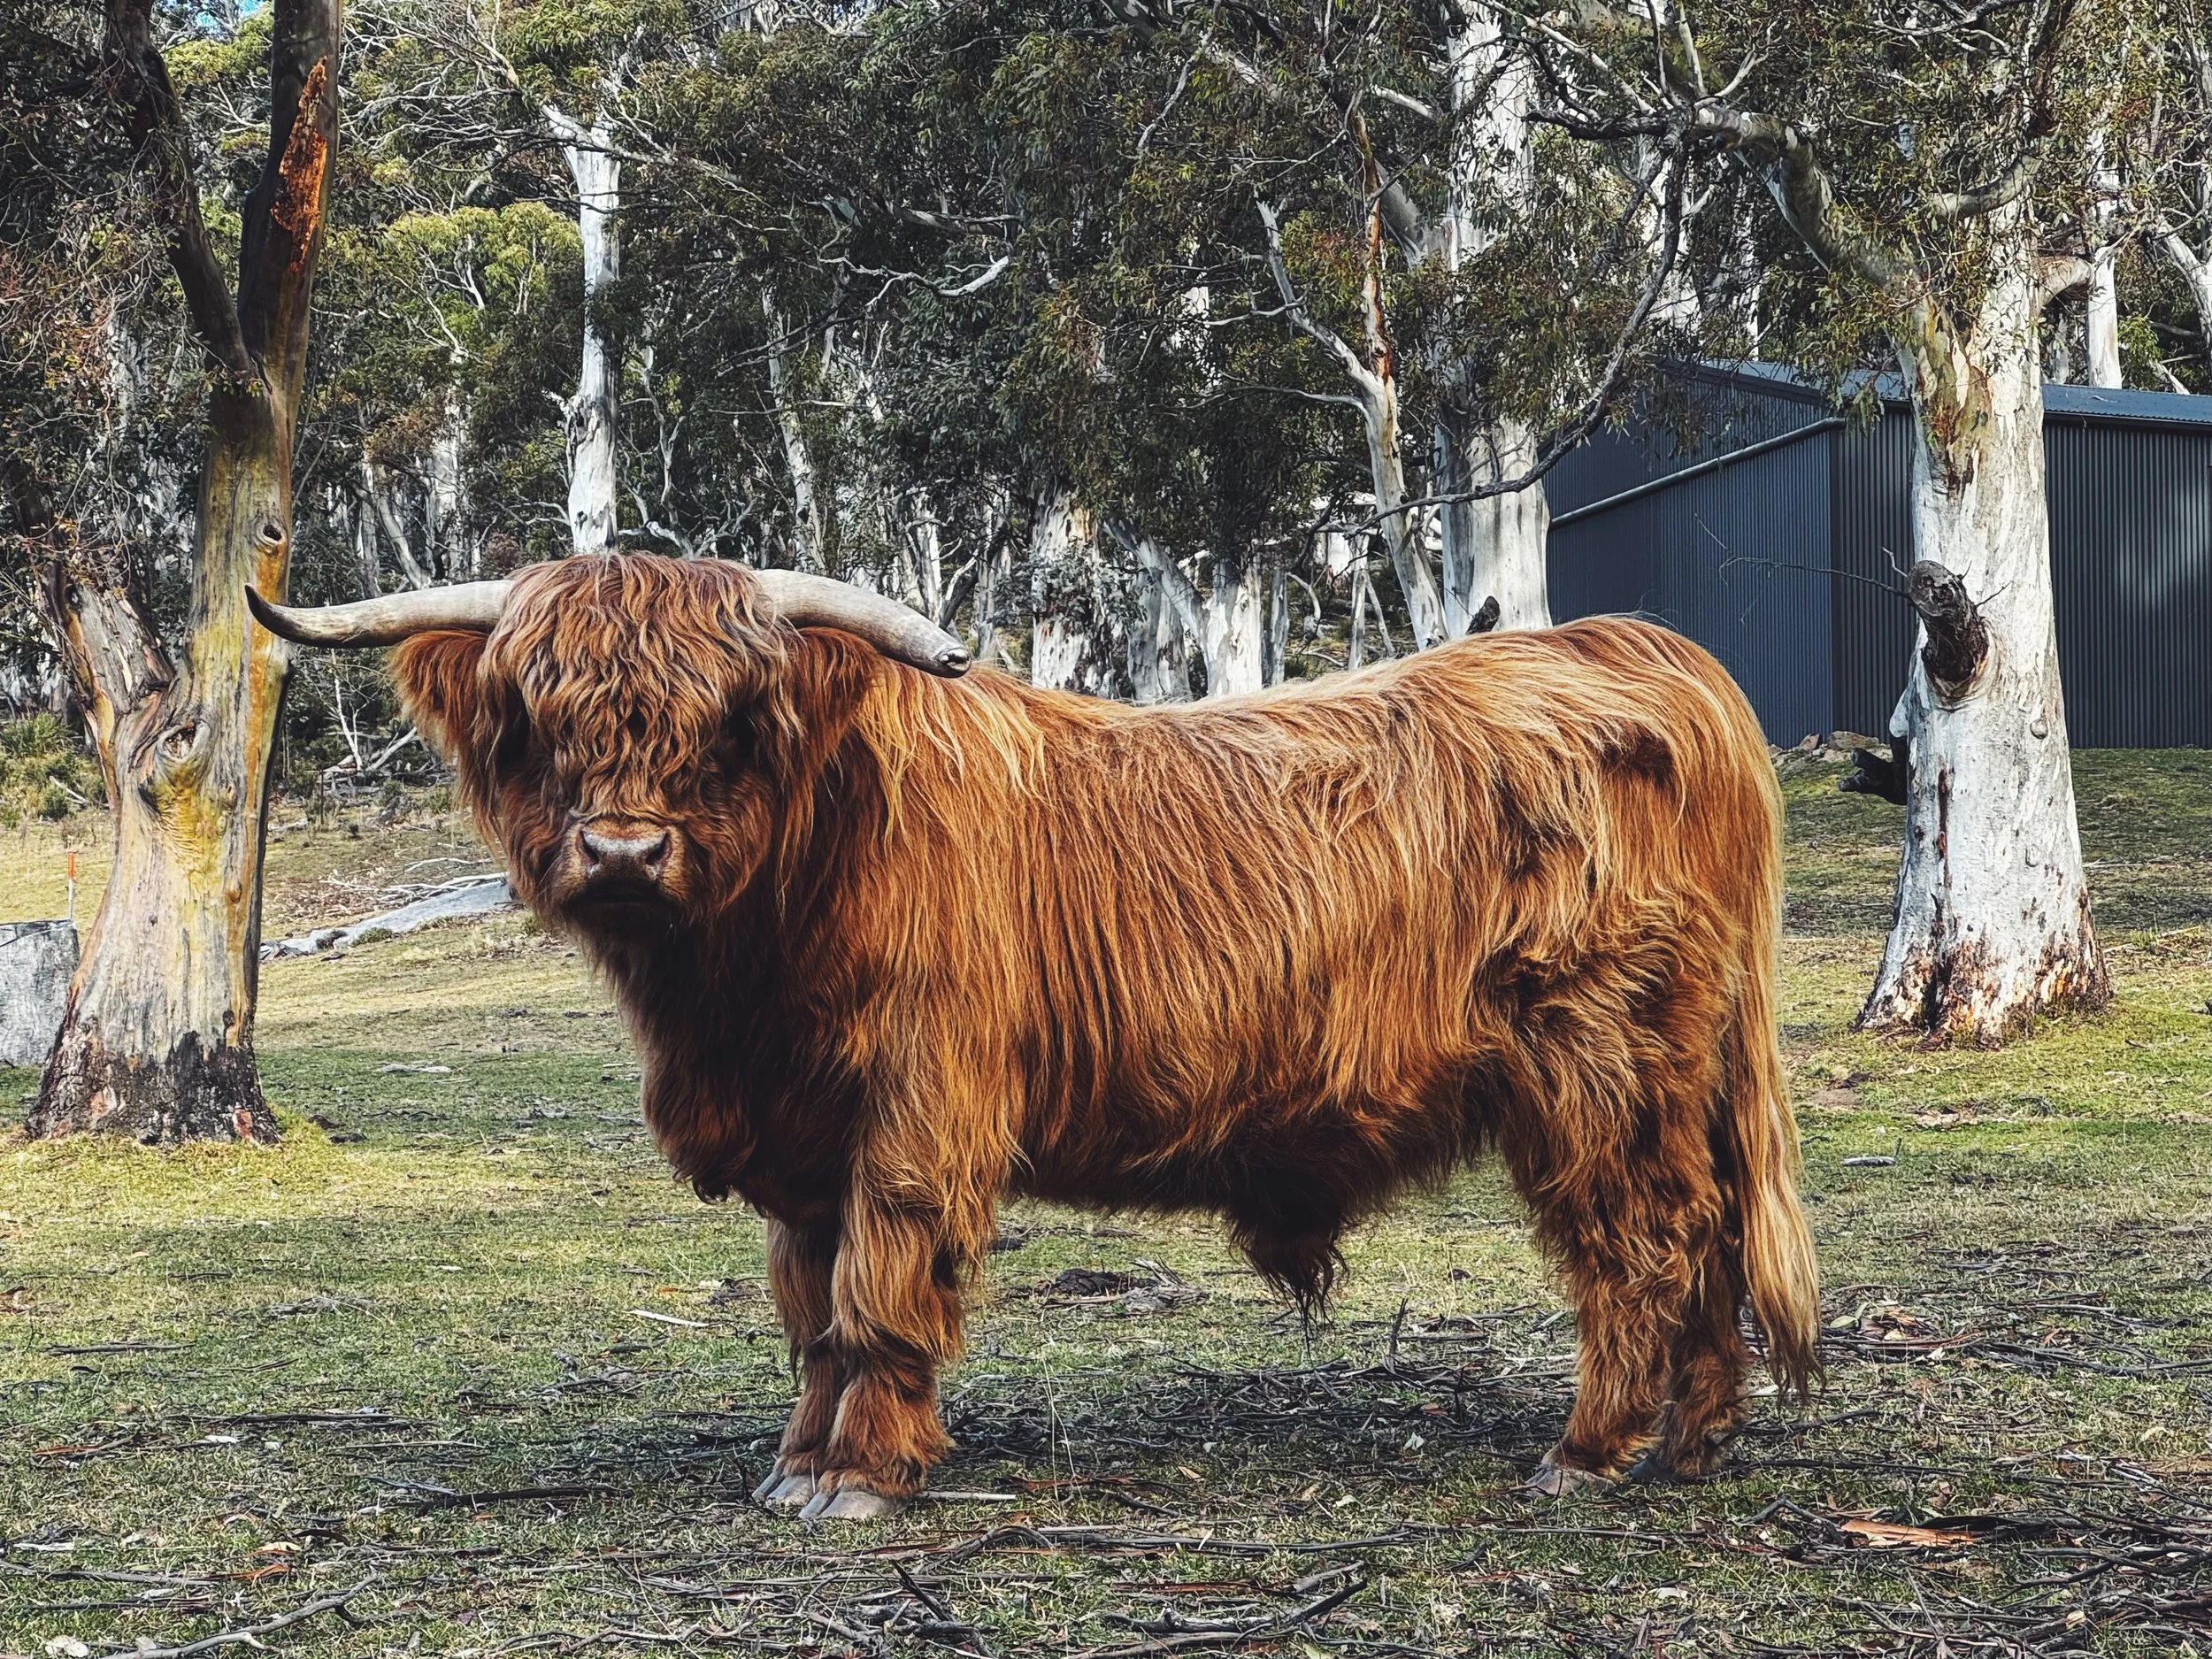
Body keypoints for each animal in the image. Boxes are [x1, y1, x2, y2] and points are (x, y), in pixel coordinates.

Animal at [251, 553, 1820, 1522]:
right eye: (543, 714)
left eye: (731, 717)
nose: (626, 851)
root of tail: (1644, 651)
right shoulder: (802, 1141)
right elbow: (809, 1304)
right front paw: (796, 1460)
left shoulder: (915, 1106)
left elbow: (882, 1285)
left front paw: (861, 1478)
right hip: (1677, 1066)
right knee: (1711, 1225)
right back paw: (1700, 1439)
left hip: (1598, 1059)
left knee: (1640, 1236)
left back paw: (1595, 1448)